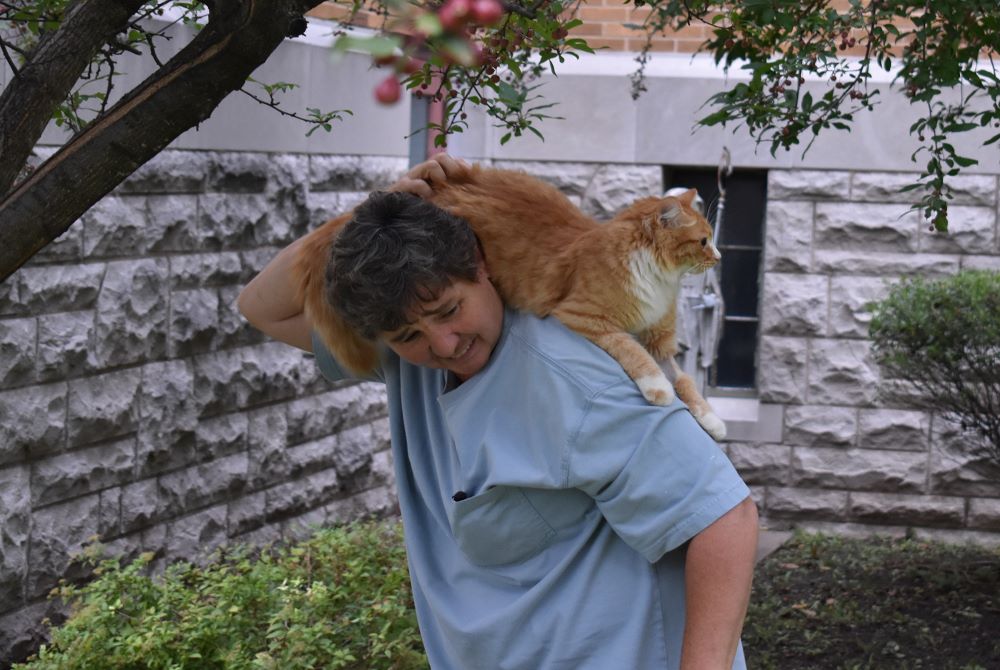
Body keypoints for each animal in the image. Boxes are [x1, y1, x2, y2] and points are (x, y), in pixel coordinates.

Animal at [294, 163, 728, 444]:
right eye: (703, 241)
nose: (720, 257)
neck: (659, 280)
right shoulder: (585, 316)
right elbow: (632, 351)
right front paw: (657, 389)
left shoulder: (661, 341)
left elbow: (686, 380)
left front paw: (711, 419)